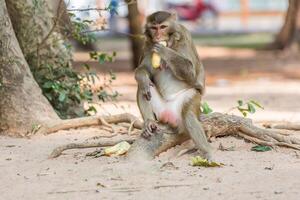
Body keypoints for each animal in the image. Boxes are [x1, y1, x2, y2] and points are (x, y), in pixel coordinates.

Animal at [135, 10, 212, 161]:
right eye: (154, 28)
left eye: (163, 27)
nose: (158, 36)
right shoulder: (147, 45)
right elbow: (143, 70)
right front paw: (142, 77)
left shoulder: (184, 36)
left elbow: (191, 72)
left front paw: (163, 51)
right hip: (160, 113)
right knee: (143, 89)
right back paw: (149, 121)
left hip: (188, 100)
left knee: (189, 116)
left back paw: (207, 152)